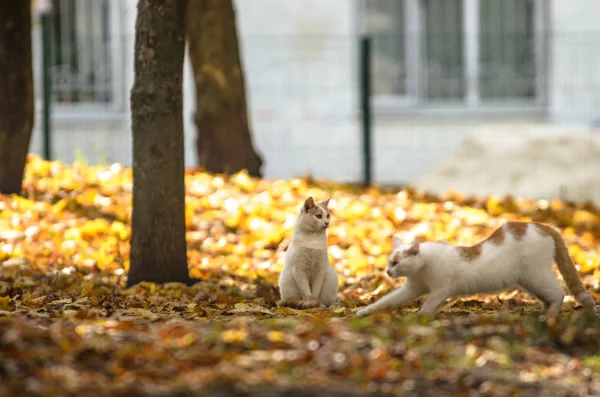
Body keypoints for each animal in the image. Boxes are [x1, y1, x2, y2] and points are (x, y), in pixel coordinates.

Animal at [356, 220, 596, 316]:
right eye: (389, 262)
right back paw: (543, 312)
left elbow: (428, 305)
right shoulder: (411, 289)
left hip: (535, 275)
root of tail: (545, 226)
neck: (422, 269)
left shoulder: (441, 289)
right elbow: (386, 301)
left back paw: (550, 316)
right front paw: (364, 311)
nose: (388, 272)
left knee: (559, 292)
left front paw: (421, 316)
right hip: (529, 280)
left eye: (396, 263)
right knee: (549, 296)